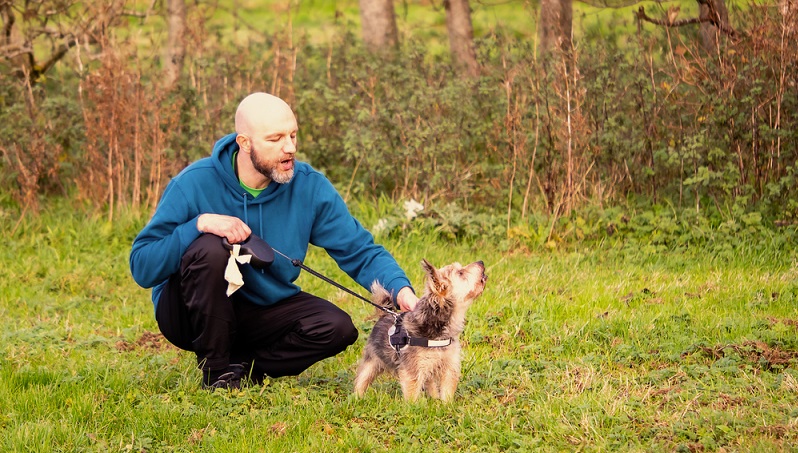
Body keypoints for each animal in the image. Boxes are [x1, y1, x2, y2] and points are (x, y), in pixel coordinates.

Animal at [354, 258, 488, 400]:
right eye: (460, 273)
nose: (481, 261)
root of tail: (384, 314)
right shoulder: (412, 370)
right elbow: (412, 393)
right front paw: (413, 406)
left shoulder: (449, 365)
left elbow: (447, 390)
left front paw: (445, 404)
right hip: (372, 360)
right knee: (363, 378)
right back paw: (357, 397)